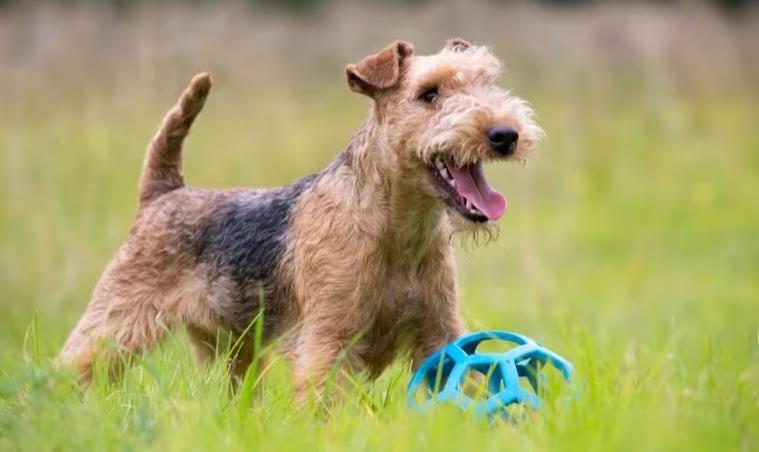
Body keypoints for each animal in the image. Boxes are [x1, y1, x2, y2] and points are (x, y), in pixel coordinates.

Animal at [60, 37, 548, 400]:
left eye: (488, 83)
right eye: (429, 94)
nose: (505, 134)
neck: (397, 230)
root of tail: (164, 193)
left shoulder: (440, 334)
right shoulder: (329, 339)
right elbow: (326, 404)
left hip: (229, 348)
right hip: (118, 318)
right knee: (73, 365)